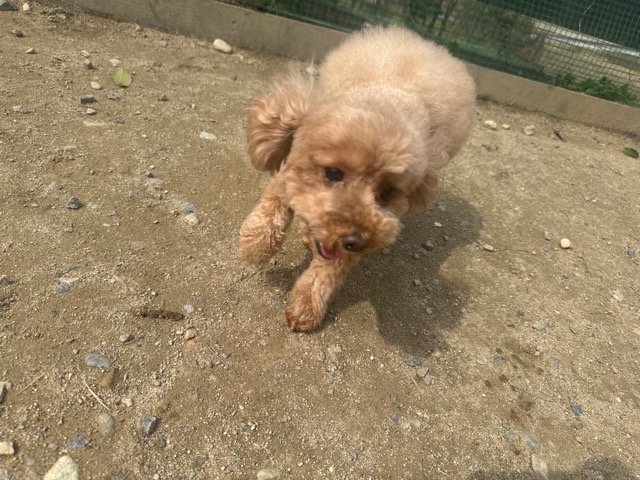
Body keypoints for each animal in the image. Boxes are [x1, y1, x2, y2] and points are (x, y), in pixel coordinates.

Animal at [240, 25, 476, 332]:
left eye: (387, 192)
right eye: (332, 173)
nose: (356, 239)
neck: (384, 100)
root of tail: (427, 44)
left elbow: (325, 274)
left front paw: (306, 307)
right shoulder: (285, 175)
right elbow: (272, 210)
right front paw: (255, 246)